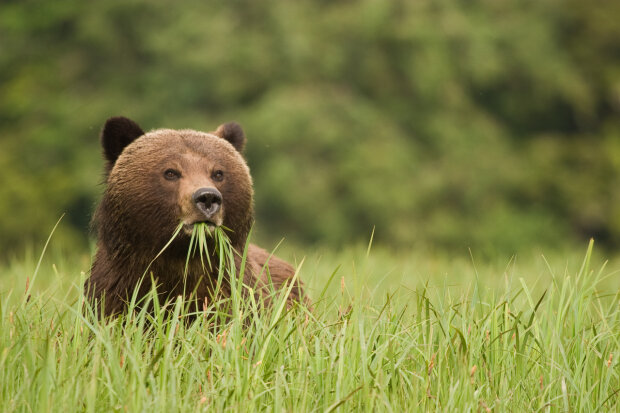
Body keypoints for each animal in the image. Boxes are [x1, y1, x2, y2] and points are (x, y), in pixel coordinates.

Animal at [87, 116, 308, 316]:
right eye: (171, 172)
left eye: (218, 173)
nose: (207, 197)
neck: (181, 258)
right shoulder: (116, 290)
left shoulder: (234, 293)